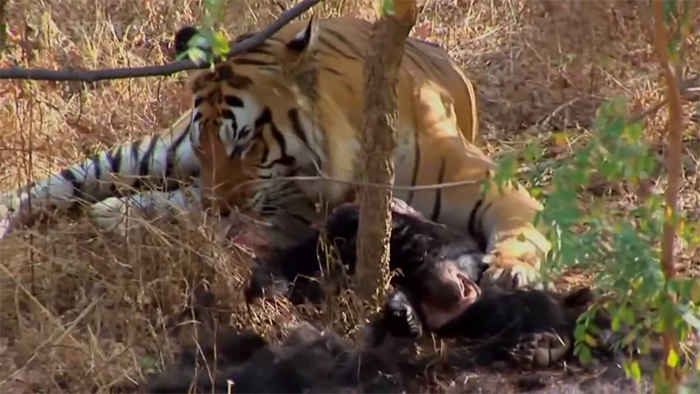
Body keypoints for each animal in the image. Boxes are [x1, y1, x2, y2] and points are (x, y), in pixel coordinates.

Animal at [0, 16, 548, 290]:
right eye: (205, 142)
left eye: (244, 141)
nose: (217, 204)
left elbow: (522, 227)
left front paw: (512, 269)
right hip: (155, 154)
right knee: (64, 181)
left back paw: (120, 213)